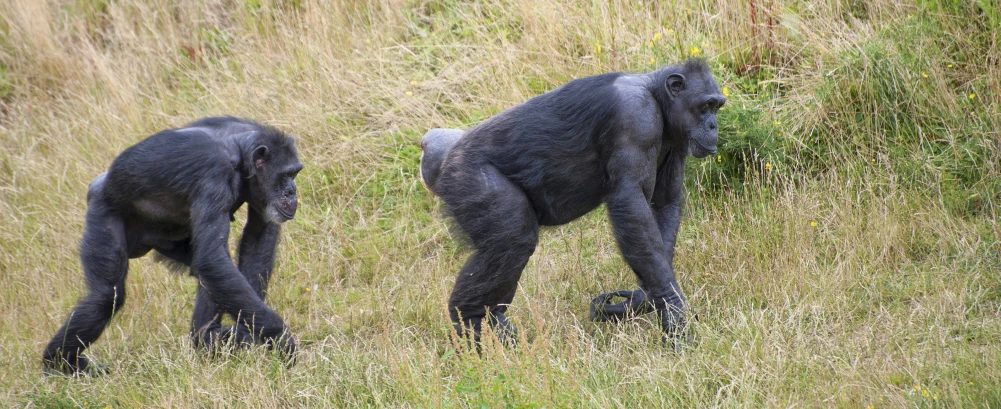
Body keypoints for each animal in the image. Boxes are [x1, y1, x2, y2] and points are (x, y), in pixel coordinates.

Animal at [43, 116, 300, 374]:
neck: (239, 154)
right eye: (285, 175)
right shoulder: (214, 175)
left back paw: (206, 337)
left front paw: (249, 332)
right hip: (102, 215)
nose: (292, 191)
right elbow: (213, 258)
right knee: (105, 296)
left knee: (210, 276)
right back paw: (61, 364)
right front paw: (281, 339)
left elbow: (256, 238)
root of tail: (97, 185)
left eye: (295, 173)